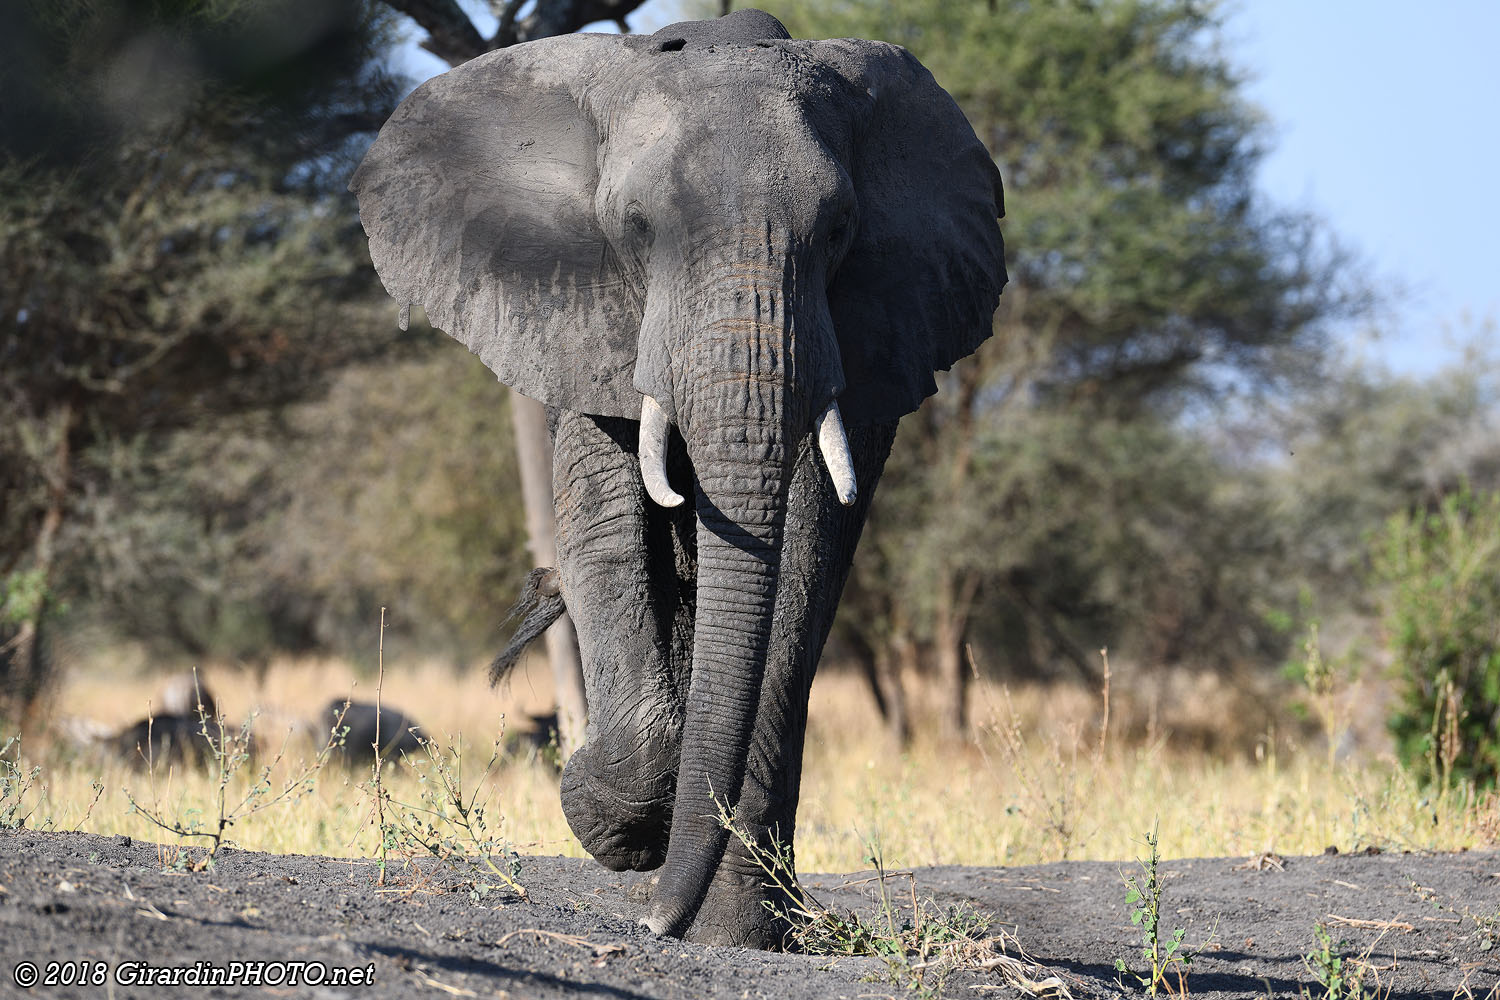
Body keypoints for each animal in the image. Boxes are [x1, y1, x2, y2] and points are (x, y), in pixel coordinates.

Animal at [350, 9, 1005, 947]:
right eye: (634, 225)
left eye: (840, 229)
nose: (658, 921)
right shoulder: (580, 320)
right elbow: (604, 522)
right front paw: (620, 829)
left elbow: (805, 556)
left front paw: (724, 926)